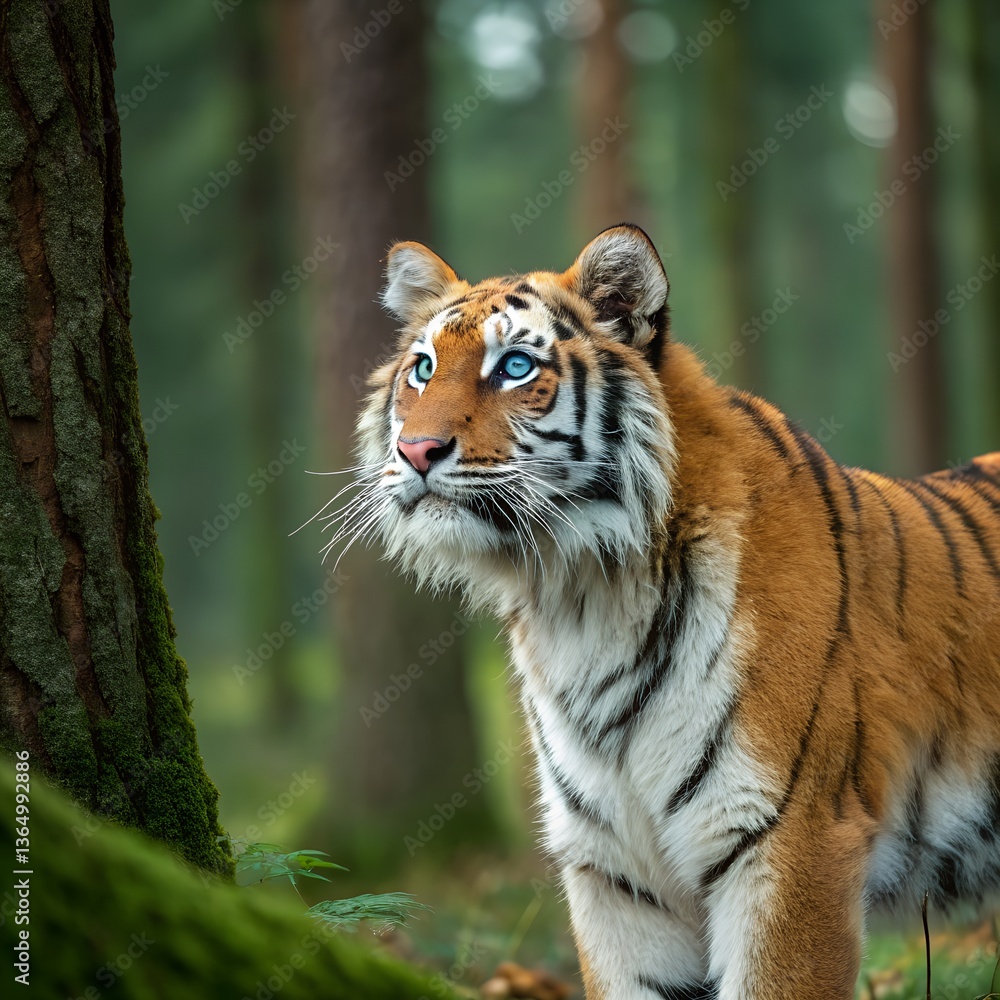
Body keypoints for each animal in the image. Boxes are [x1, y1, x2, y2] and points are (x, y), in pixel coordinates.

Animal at [337, 223, 1000, 999]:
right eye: (422, 369)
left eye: (515, 367)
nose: (415, 450)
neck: (580, 599)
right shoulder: (615, 870)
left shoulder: (794, 842)